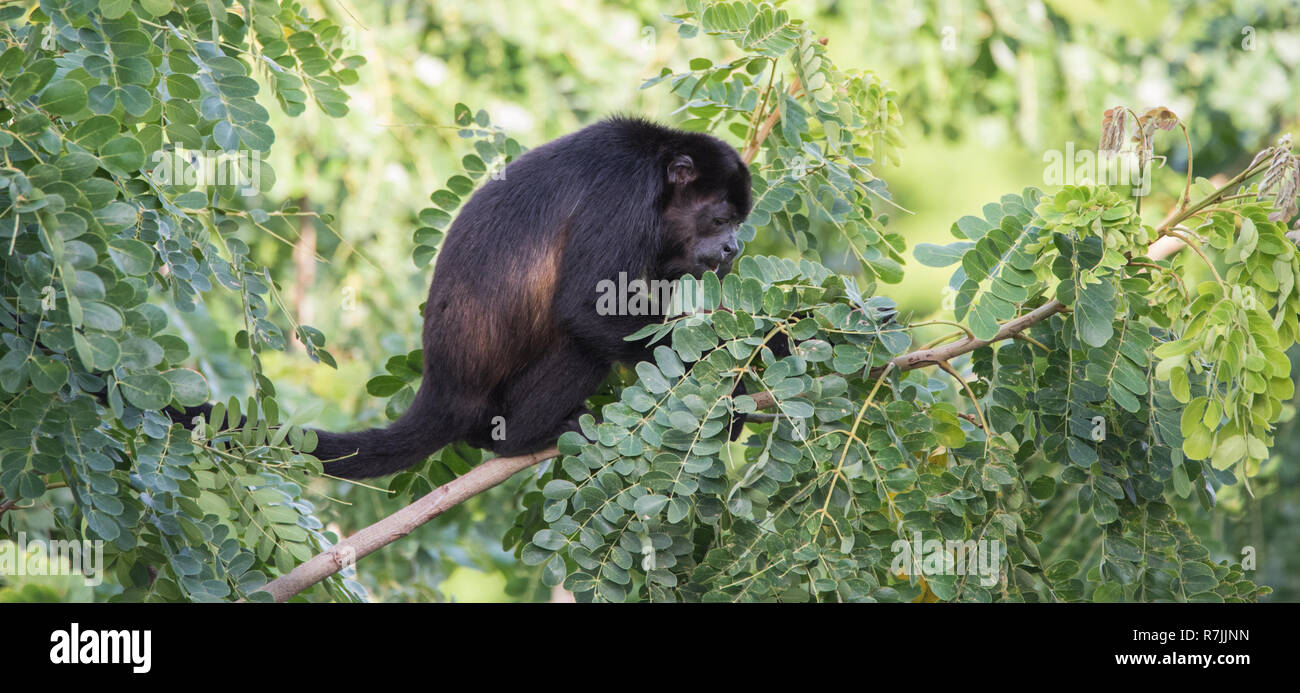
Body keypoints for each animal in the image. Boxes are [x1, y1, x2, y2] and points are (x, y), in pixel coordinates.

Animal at [184, 117, 759, 475]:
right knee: (580, 344)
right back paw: (527, 438)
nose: (732, 246)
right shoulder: (624, 194)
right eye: (720, 218)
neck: (659, 171)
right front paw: (732, 382)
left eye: (738, 221)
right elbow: (588, 307)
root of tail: (442, 387)